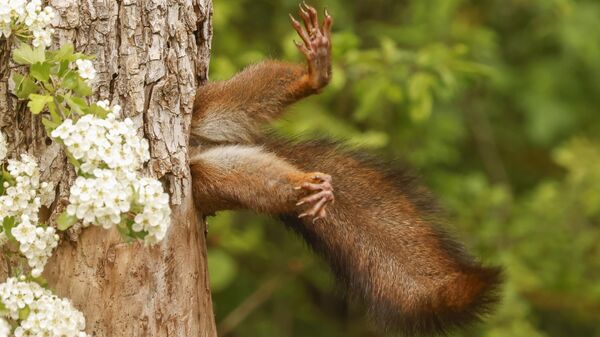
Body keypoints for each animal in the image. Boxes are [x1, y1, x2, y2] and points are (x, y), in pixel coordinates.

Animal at [188, 3, 502, 334]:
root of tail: (199, 146)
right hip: (209, 178)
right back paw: (308, 187)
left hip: (206, 105)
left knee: (242, 95)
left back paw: (315, 75)